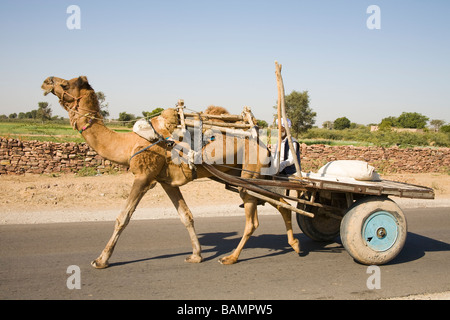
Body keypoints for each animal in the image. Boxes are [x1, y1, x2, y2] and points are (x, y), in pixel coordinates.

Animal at [40, 75, 300, 268]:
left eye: (65, 84)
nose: (46, 81)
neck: (129, 144)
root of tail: (265, 146)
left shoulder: (143, 176)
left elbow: (123, 217)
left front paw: (100, 260)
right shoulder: (165, 181)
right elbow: (186, 216)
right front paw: (196, 255)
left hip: (249, 175)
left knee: (255, 220)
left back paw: (231, 258)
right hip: (247, 177)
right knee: (280, 202)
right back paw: (294, 244)